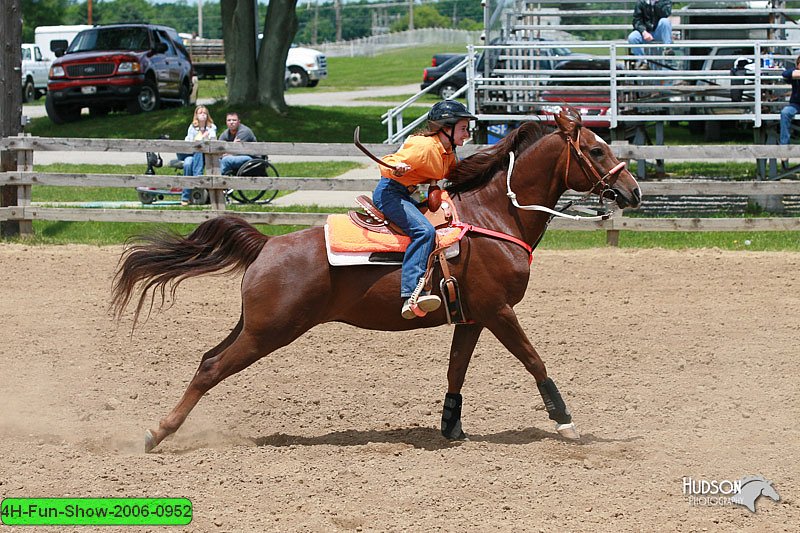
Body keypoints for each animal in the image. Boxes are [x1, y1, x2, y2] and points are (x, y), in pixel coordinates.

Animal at [112, 110, 640, 450]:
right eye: (596, 149)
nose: (633, 192)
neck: (494, 215)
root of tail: (267, 245)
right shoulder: (499, 311)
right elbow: (535, 361)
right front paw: (566, 423)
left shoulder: (473, 317)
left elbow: (456, 370)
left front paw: (451, 428)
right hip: (270, 332)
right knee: (211, 370)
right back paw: (157, 434)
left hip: (255, 326)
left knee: (207, 360)